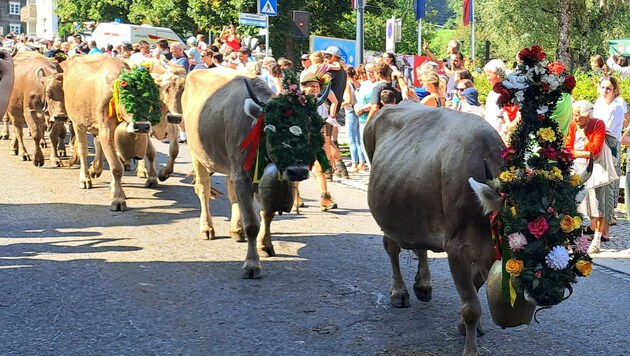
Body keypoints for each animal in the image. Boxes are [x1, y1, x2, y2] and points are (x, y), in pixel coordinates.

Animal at [63, 55, 154, 211]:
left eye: (149, 98)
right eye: (126, 98)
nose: (142, 126)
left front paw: (114, 189)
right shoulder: (106, 129)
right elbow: (116, 167)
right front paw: (118, 198)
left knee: (97, 143)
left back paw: (96, 169)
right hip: (77, 124)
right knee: (82, 149)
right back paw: (85, 178)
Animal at [180, 67, 324, 278]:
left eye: (308, 129)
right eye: (272, 130)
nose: (297, 171)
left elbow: (267, 213)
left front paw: (265, 245)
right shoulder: (243, 176)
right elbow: (252, 223)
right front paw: (252, 265)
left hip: (229, 166)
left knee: (231, 192)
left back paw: (235, 229)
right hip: (196, 153)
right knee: (203, 189)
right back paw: (207, 228)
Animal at [366, 100, 504, 356]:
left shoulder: (487, 253)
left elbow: (475, 288)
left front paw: (465, 327)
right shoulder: (458, 247)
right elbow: (471, 306)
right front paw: (470, 348)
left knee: (419, 245)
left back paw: (423, 285)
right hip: (388, 215)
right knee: (392, 247)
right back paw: (399, 292)